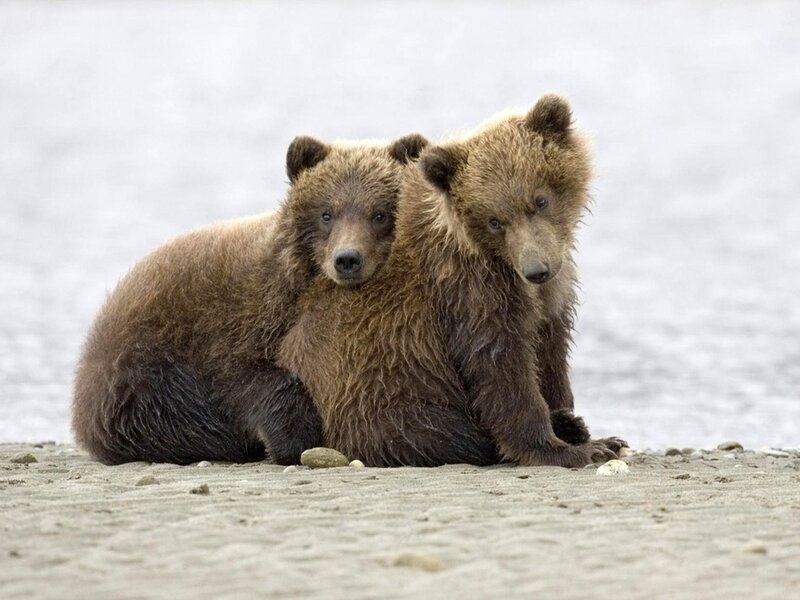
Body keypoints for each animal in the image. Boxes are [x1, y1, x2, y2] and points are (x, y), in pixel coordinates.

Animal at [71, 132, 429, 465]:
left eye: (379, 214)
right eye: (327, 213)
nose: (347, 259)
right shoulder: (234, 322)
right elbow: (246, 380)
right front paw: (294, 437)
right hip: (138, 368)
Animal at [278, 94, 621, 467]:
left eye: (540, 200)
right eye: (494, 221)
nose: (536, 269)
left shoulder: (551, 294)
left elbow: (550, 350)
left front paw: (581, 426)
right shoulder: (469, 288)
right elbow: (501, 366)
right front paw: (567, 448)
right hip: (382, 393)